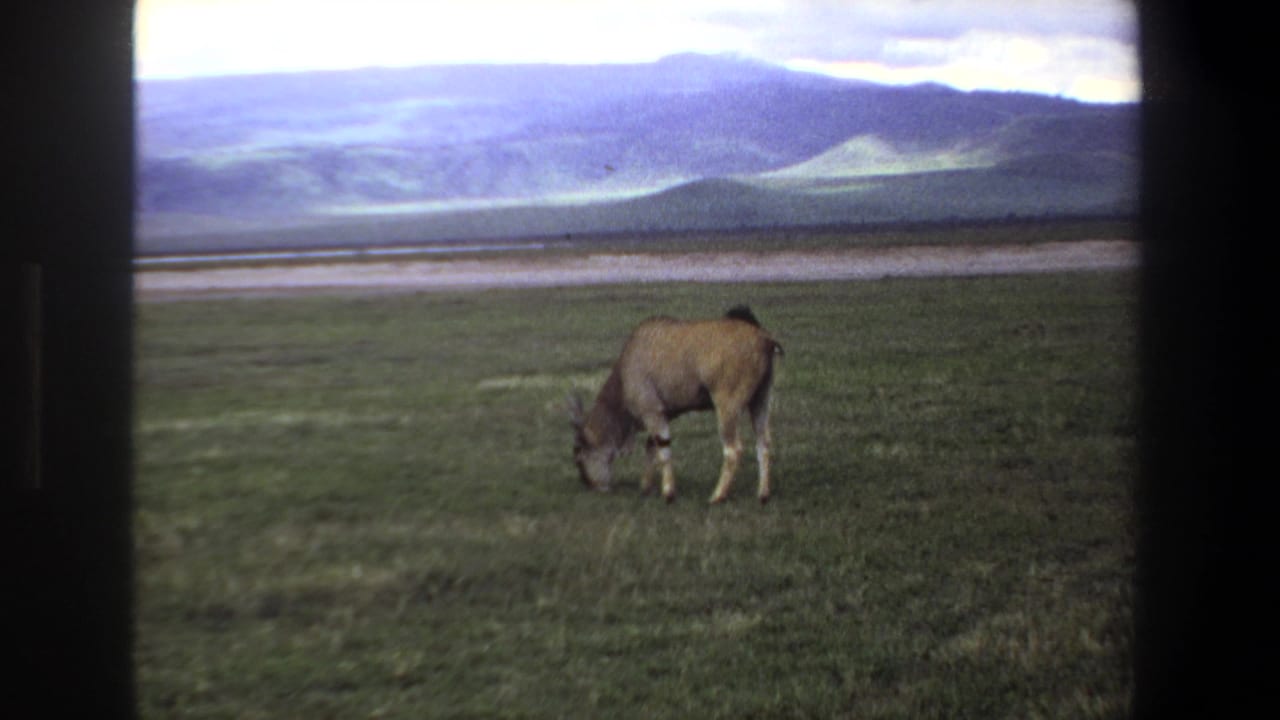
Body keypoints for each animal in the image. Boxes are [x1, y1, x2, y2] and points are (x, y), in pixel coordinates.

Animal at [567, 306, 782, 504]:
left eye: (578, 456)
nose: (591, 485)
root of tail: (764, 338)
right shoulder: (663, 415)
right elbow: (652, 446)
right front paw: (646, 487)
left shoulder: (652, 412)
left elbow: (663, 450)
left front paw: (668, 493)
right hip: (761, 401)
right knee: (764, 443)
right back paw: (763, 495)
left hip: (726, 408)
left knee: (733, 450)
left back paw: (717, 496)